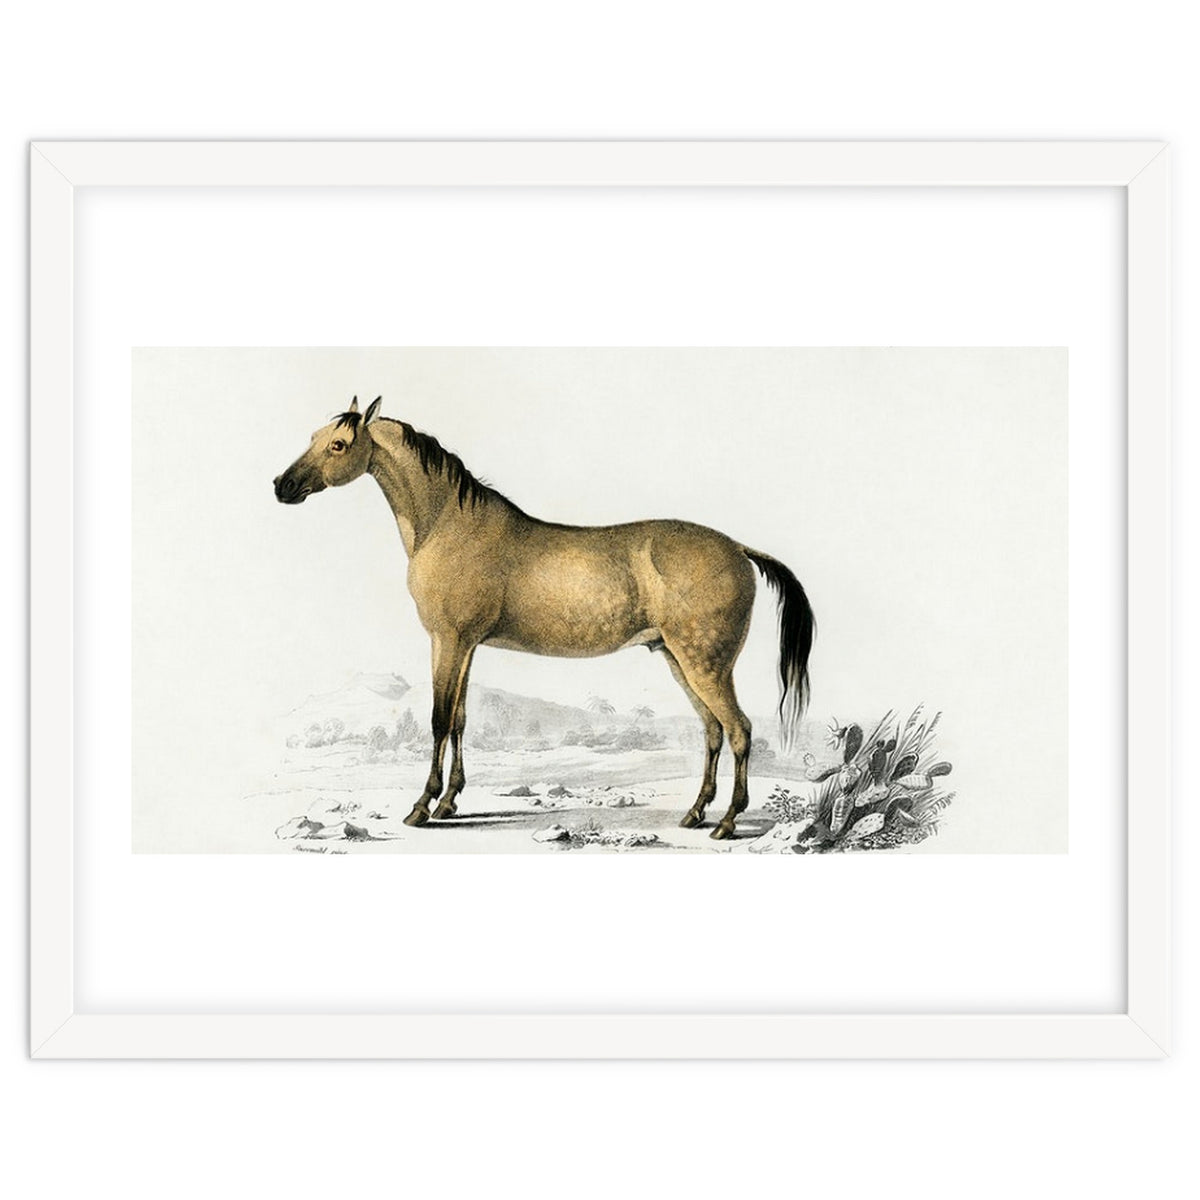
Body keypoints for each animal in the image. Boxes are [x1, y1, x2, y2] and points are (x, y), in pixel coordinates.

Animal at [273, 396, 815, 840]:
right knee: (713, 731)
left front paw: (422, 807)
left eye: (339, 444)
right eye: (314, 437)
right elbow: (461, 720)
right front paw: (450, 802)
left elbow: (438, 720)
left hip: (705, 664)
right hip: (679, 660)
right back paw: (696, 813)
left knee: (739, 729)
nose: (283, 486)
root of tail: (738, 548)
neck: (449, 524)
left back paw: (727, 822)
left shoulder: (447, 640)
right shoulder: (465, 646)